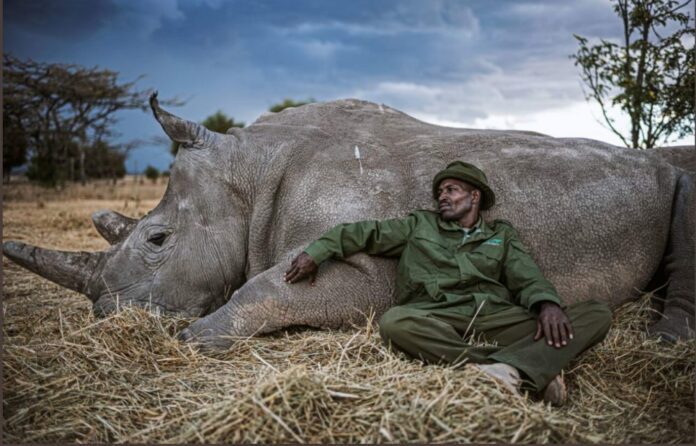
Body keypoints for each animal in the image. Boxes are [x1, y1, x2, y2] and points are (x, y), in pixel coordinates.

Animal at [3, 94, 694, 349]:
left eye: (157, 239)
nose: (105, 319)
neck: (249, 174)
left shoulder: (372, 272)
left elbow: (265, 289)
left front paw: (197, 339)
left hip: (679, 171)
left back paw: (664, 345)